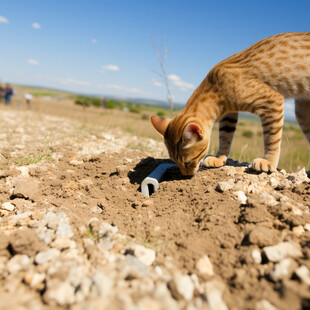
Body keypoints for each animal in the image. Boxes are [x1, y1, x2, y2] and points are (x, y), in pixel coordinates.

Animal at [151, 31, 310, 177]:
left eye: (187, 162)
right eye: (174, 161)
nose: (185, 175)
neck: (214, 85)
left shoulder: (271, 100)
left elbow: (272, 136)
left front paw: (269, 161)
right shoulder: (228, 115)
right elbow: (225, 137)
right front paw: (219, 158)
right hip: (303, 113)